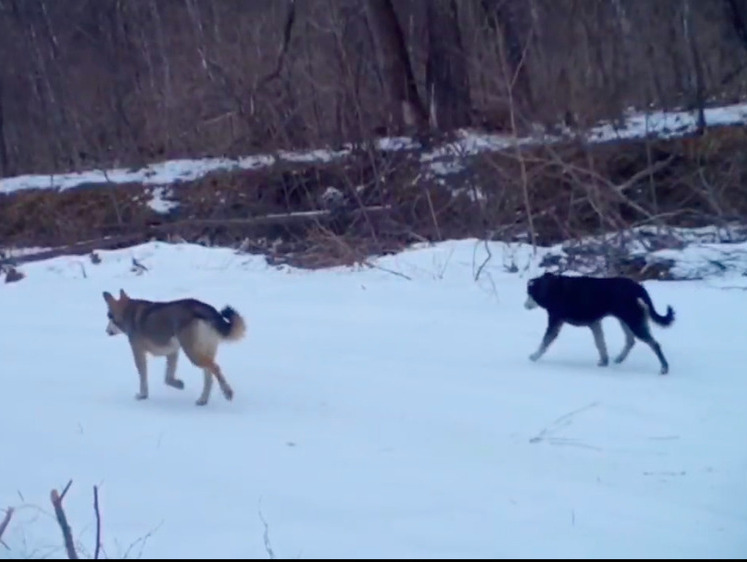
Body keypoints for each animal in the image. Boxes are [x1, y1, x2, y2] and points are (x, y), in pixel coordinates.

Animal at [102, 290, 247, 404]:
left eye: (109, 316)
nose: (106, 331)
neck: (128, 311)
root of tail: (203, 307)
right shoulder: (173, 352)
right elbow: (168, 378)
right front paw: (179, 384)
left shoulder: (138, 352)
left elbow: (143, 376)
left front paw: (143, 395)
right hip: (203, 352)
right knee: (209, 375)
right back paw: (203, 400)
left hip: (192, 354)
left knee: (215, 368)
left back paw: (227, 392)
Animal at [524, 270, 676, 374]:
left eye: (530, 294)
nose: (524, 305)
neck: (553, 288)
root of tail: (636, 286)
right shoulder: (595, 323)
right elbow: (600, 343)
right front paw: (604, 361)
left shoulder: (555, 321)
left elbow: (545, 341)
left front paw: (534, 356)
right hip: (626, 320)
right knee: (631, 341)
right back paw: (620, 358)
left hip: (633, 320)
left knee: (654, 344)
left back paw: (664, 368)